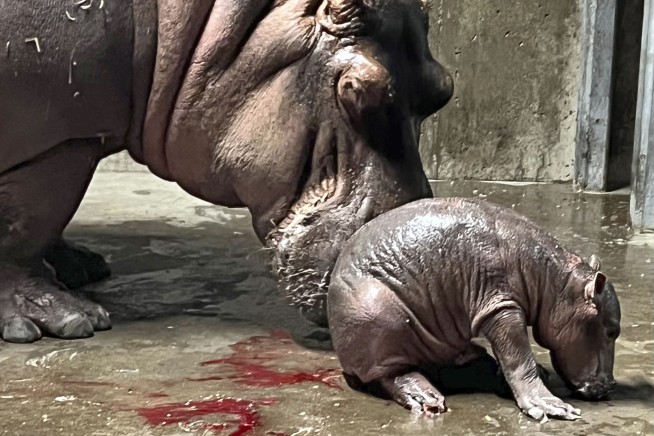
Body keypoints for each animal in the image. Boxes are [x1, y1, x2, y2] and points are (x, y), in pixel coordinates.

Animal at [0, 0, 453, 343]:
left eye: (443, 88)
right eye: (356, 89)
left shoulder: (81, 135)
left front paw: (79, 265)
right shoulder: (62, 142)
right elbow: (26, 226)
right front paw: (65, 322)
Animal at [328, 198, 621, 421]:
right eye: (611, 331)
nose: (610, 386)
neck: (557, 282)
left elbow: (511, 358)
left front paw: (539, 374)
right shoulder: (500, 307)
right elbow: (518, 357)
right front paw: (551, 406)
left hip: (444, 342)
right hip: (378, 316)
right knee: (392, 374)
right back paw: (427, 399)